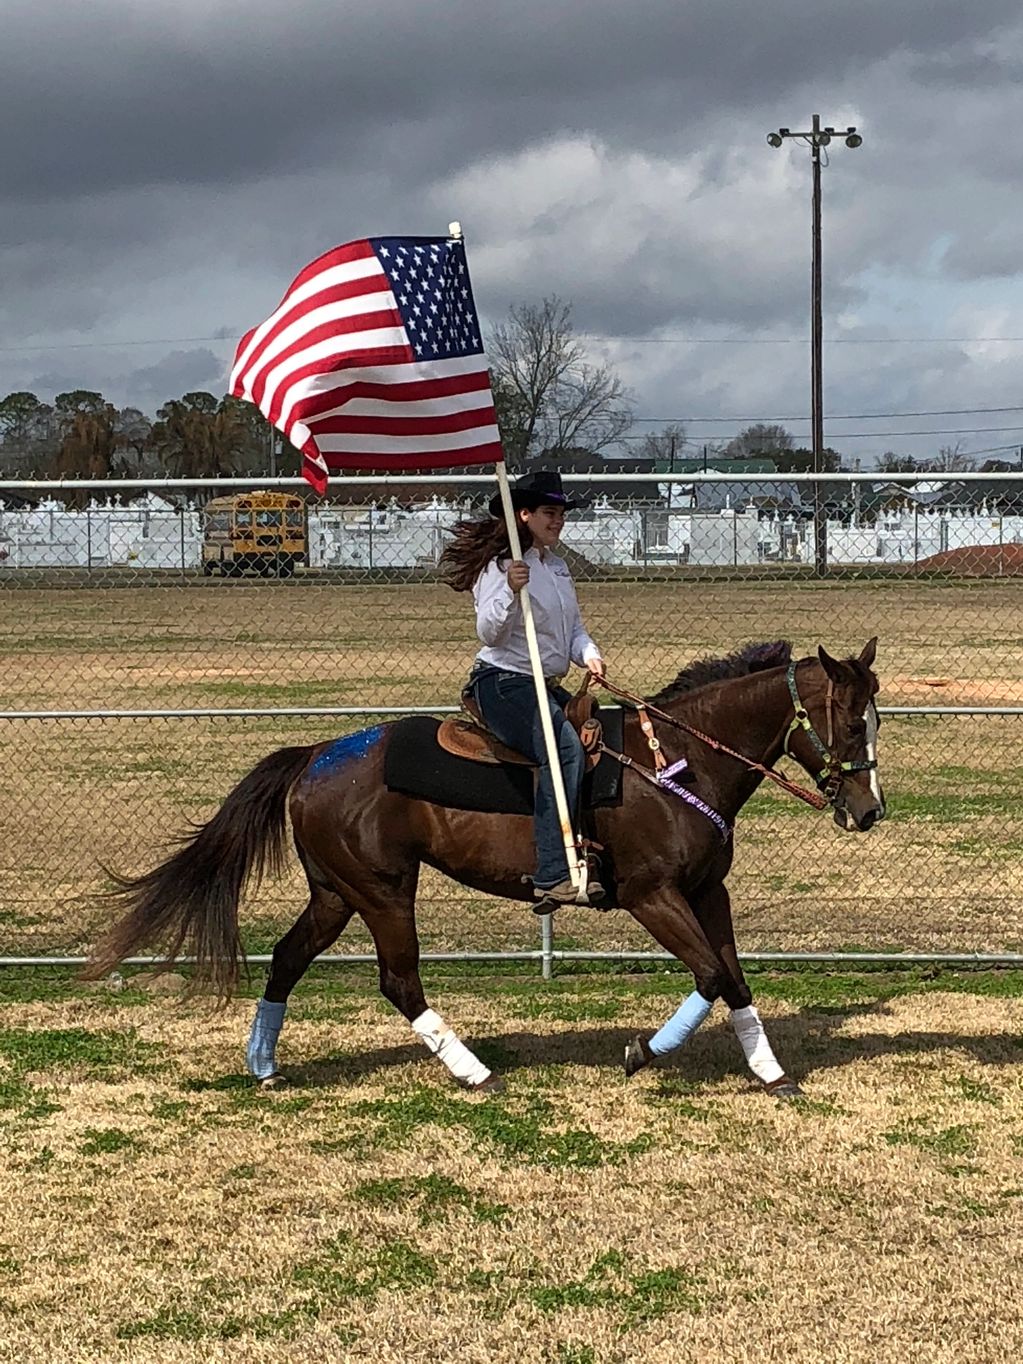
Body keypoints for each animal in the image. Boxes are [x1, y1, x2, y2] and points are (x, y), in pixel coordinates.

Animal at [87, 638, 883, 1096]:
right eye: (850, 721)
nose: (869, 810)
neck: (676, 763)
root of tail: (316, 754)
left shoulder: (706, 890)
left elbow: (736, 980)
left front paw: (772, 1073)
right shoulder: (651, 895)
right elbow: (711, 975)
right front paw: (639, 1052)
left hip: (335, 892)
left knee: (286, 959)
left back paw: (265, 1066)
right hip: (383, 891)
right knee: (398, 980)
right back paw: (474, 1072)